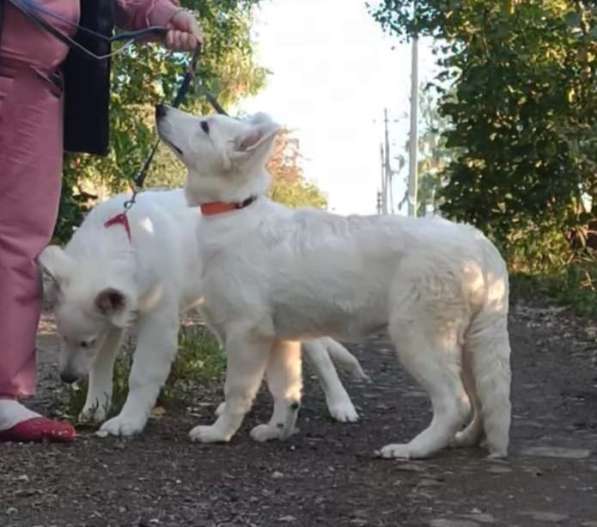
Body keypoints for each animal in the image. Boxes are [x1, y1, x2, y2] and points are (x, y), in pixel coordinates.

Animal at [39, 190, 366, 438]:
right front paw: (94, 408)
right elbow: (100, 368)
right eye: (62, 338)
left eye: (87, 342)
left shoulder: (158, 322)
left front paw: (128, 421)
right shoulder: (114, 323)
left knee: (322, 358)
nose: (66, 378)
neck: (124, 238)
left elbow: (141, 375)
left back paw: (341, 405)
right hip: (222, 315)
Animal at [156, 105, 510, 460]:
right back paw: (468, 438)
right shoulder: (279, 339)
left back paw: (413, 448)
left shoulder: (248, 332)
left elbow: (237, 391)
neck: (235, 210)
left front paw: (219, 432)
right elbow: (286, 390)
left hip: (421, 337)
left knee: (455, 402)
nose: (160, 108)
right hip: (470, 345)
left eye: (205, 125)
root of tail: (475, 240)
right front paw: (277, 429)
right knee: (481, 399)